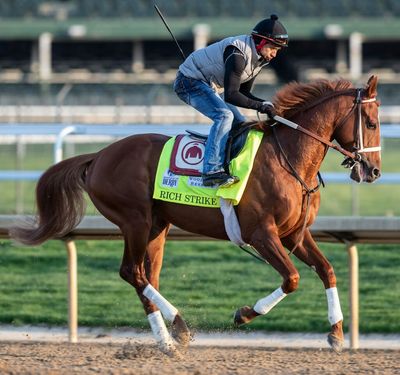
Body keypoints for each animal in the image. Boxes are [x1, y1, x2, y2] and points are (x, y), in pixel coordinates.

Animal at [10, 75, 382, 356]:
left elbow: (327, 270)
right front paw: (245, 314)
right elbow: (291, 278)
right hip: (134, 220)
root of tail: (99, 155)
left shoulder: (296, 233)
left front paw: (336, 333)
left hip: (157, 227)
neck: (288, 157)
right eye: (371, 122)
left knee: (145, 277)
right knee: (131, 272)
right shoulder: (262, 233)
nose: (374, 170)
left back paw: (167, 340)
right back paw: (180, 326)